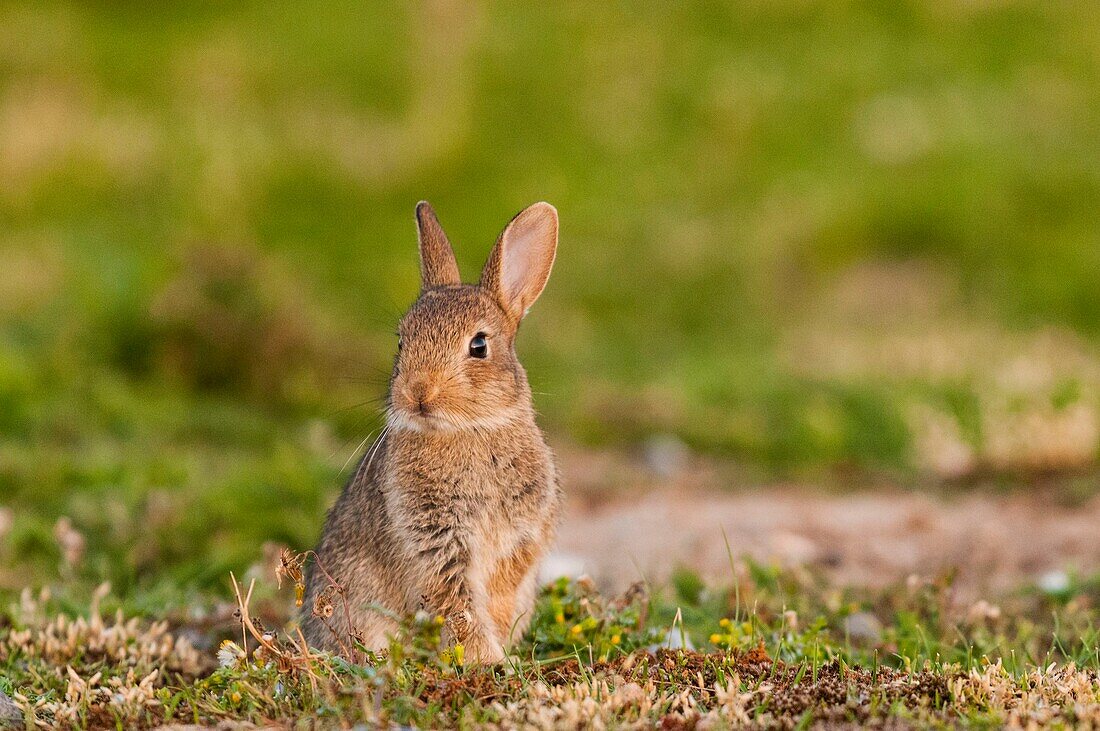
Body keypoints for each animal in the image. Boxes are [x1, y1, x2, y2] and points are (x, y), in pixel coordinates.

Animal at [301, 200, 563, 659]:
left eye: (479, 345)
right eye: (401, 341)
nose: (418, 392)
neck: (468, 430)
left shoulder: (518, 540)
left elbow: (493, 597)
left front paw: (496, 654)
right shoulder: (434, 542)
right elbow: (457, 604)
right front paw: (486, 659)